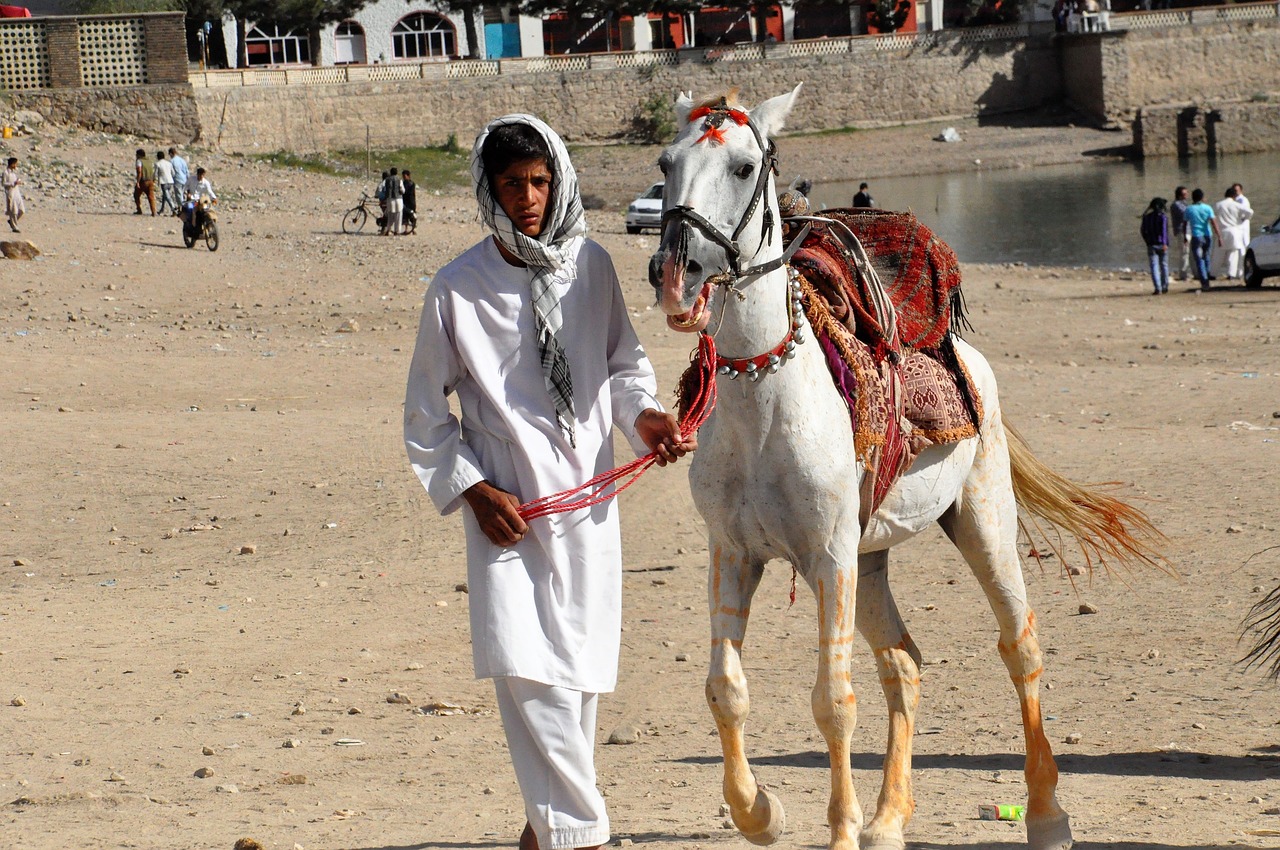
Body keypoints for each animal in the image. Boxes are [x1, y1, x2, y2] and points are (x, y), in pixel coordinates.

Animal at [650, 84, 1162, 850]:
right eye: (665, 162)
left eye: (743, 167)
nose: (675, 276)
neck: (765, 402)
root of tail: (969, 358)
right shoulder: (736, 553)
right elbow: (725, 689)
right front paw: (760, 813)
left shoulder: (827, 557)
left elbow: (833, 701)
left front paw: (836, 831)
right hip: (869, 562)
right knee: (905, 664)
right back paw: (889, 819)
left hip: (980, 523)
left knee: (1020, 646)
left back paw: (1047, 816)